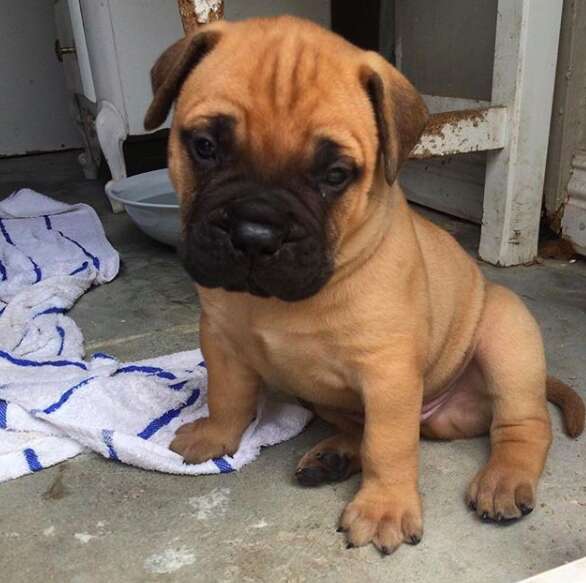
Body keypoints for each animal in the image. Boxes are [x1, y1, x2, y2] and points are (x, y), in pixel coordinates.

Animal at [144, 16, 580, 556]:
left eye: (335, 175)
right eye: (204, 147)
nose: (255, 233)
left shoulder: (387, 374)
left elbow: (387, 445)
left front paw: (383, 508)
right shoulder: (221, 339)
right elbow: (228, 394)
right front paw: (215, 435)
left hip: (507, 338)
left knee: (523, 424)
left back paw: (503, 480)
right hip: (327, 397)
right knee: (356, 425)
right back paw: (333, 456)